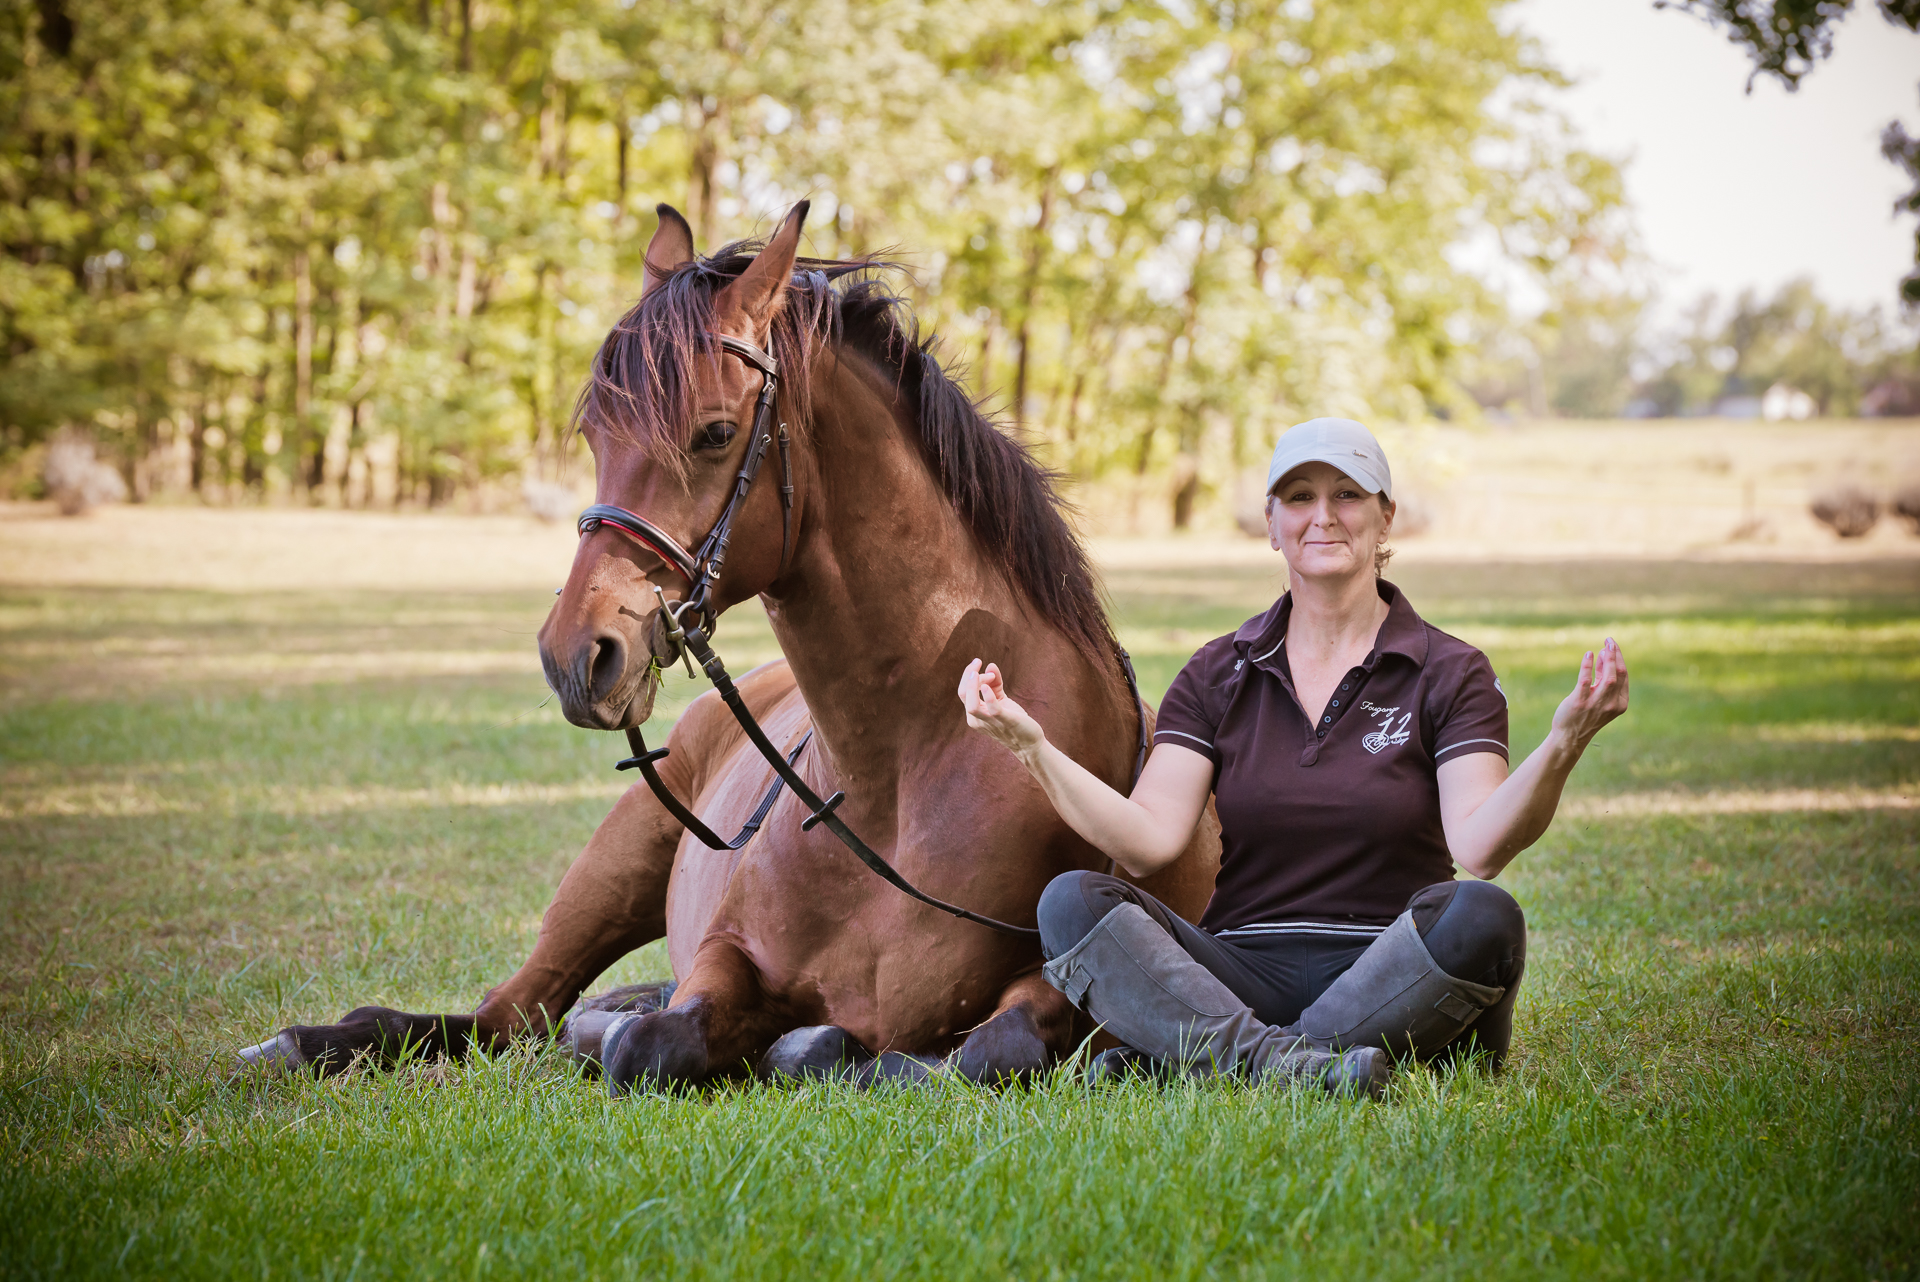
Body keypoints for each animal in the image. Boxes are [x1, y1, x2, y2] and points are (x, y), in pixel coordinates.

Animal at [240, 200, 1221, 1090]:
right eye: (594, 433)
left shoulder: (1053, 984)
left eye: (713, 432)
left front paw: (815, 1049)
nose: (576, 656)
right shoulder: (724, 956)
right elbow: (651, 1042)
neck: (897, 784)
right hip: (618, 861)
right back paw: (308, 1042)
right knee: (511, 1012)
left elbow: (988, 1050)